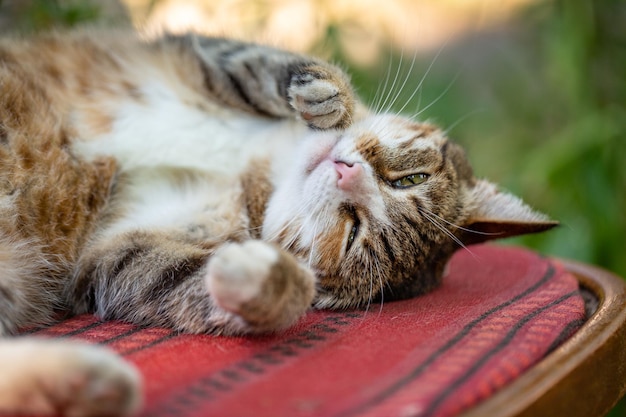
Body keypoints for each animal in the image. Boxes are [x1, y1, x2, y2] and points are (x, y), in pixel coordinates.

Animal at [0, 30, 552, 416]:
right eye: (409, 179)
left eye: (353, 233)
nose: (347, 173)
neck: (255, 168)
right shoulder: (194, 53)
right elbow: (257, 63)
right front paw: (326, 93)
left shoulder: (115, 253)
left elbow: (172, 277)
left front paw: (261, 279)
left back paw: (81, 385)